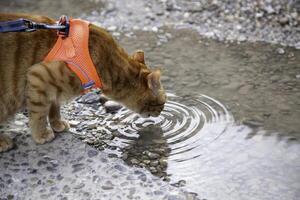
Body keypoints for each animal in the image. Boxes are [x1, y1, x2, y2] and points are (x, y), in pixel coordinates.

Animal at [0, 13, 166, 152]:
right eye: (163, 103)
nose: (161, 112)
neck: (107, 65)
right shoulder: (39, 77)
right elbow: (39, 115)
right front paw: (41, 134)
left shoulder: (53, 90)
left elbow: (54, 108)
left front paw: (57, 124)